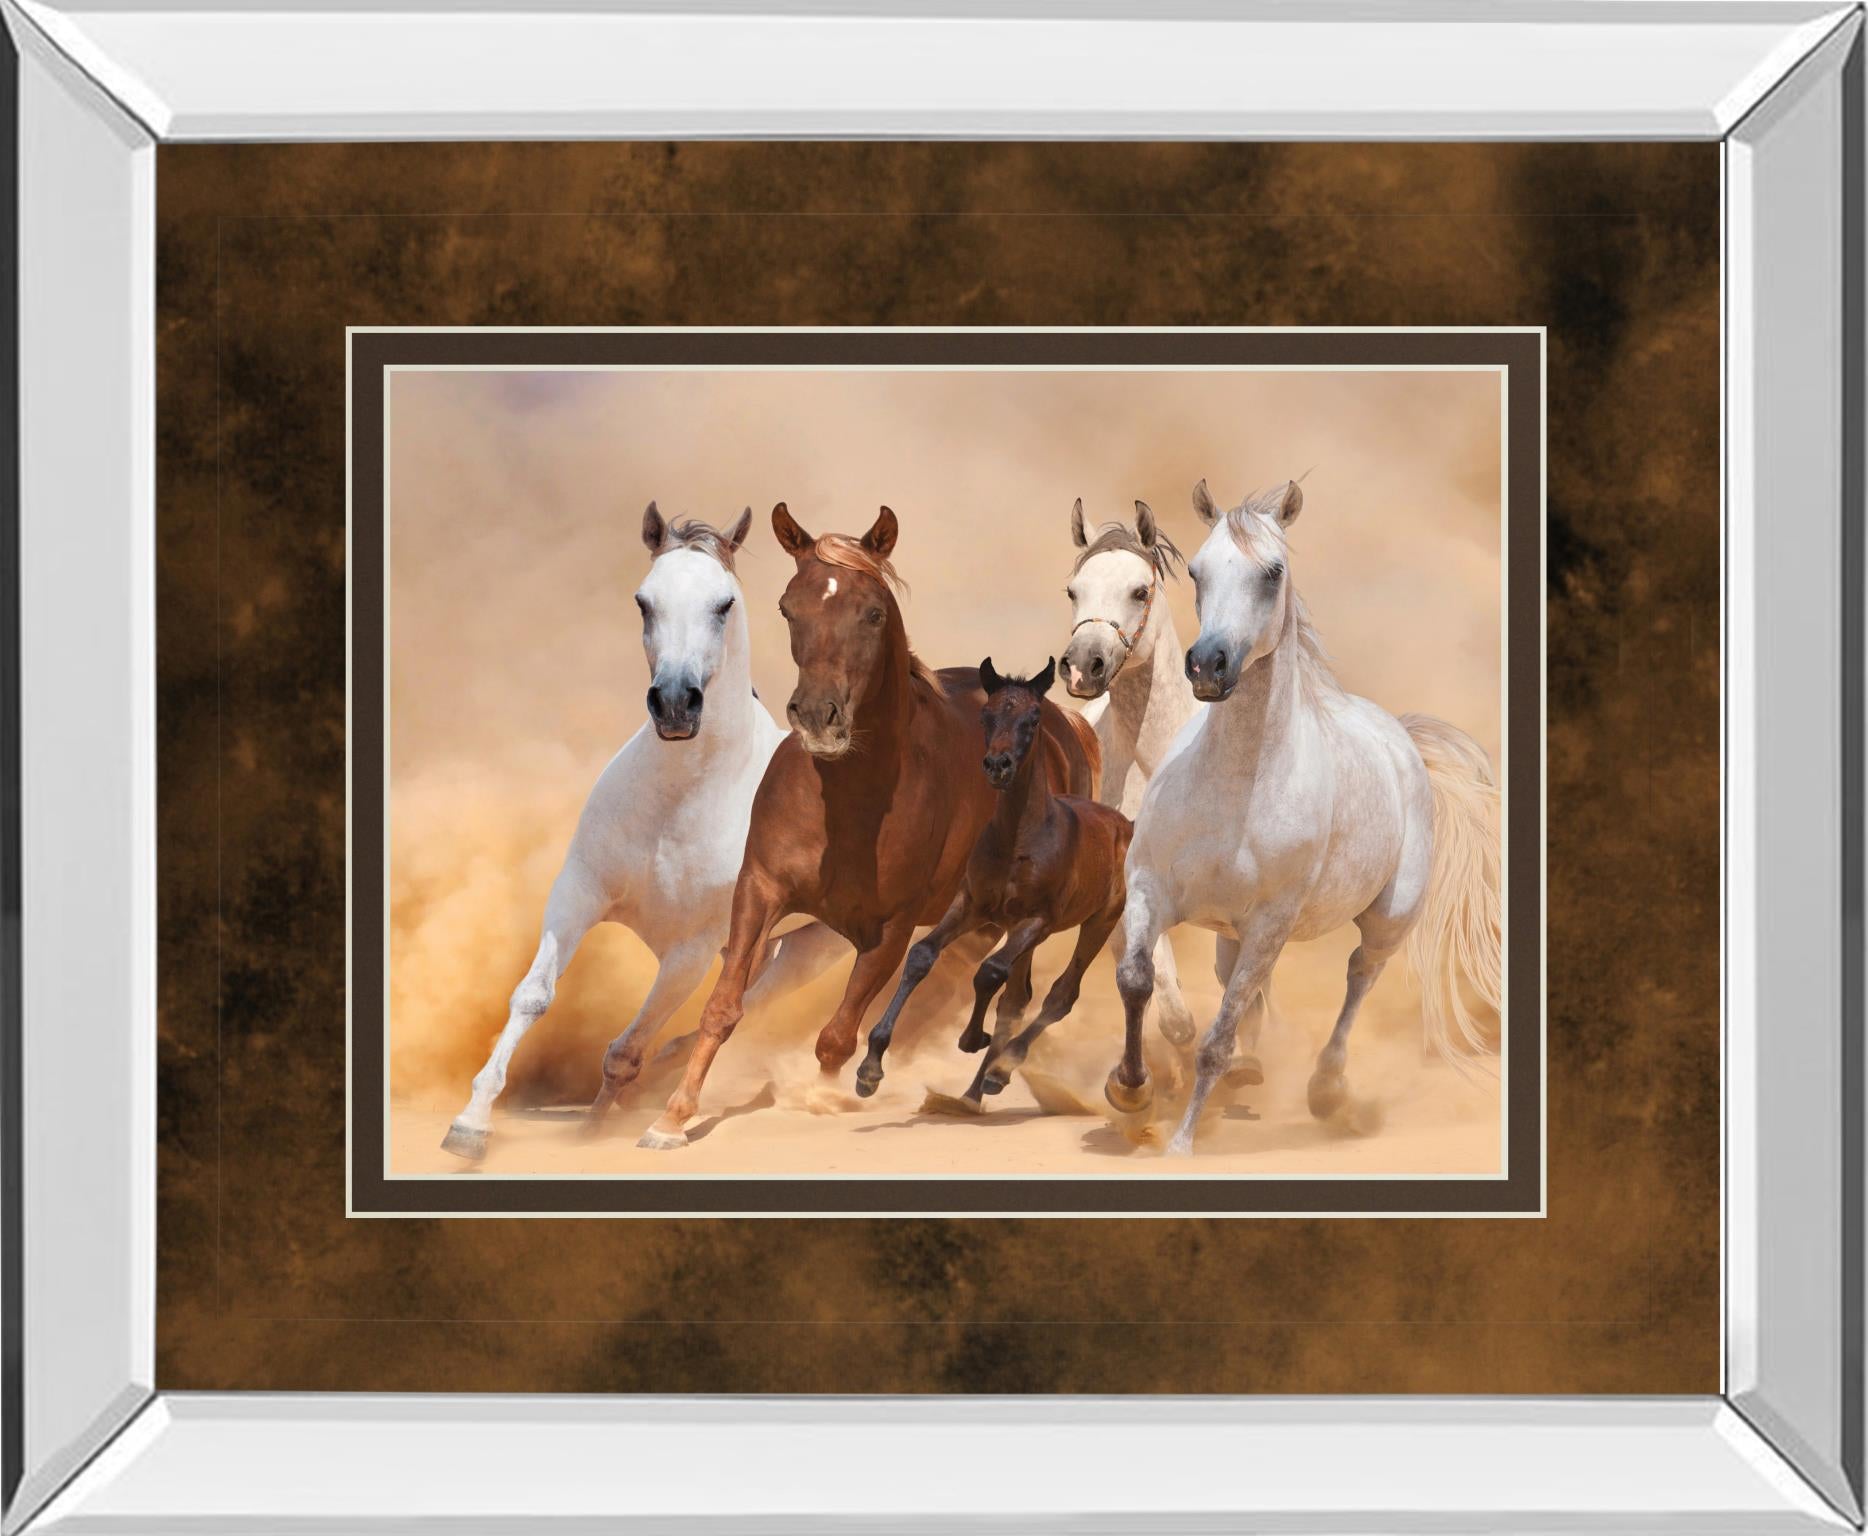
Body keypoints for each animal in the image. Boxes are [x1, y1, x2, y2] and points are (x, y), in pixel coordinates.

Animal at [440, 504, 847, 1161]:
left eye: (725, 603)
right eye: (643, 601)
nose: (676, 704)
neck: (677, 806)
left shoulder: (689, 951)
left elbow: (627, 1050)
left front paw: (612, 1127)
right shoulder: (578, 894)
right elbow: (534, 996)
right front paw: (473, 1123)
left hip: (817, 949)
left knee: (735, 1012)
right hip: (770, 945)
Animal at [615, 502, 1099, 1150]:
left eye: (873, 613)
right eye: (788, 607)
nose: (819, 716)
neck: (848, 804)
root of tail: (1067, 723)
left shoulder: (890, 930)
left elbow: (836, 1038)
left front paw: (821, 1100)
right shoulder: (759, 891)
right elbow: (722, 1008)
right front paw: (671, 1118)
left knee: (1011, 992)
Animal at [854, 656, 1132, 1105]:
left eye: (1033, 717)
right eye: (986, 715)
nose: (998, 765)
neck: (1018, 839)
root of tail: (1127, 824)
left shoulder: (1036, 920)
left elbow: (989, 972)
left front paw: (971, 1038)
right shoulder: (972, 905)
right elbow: (921, 956)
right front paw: (869, 1068)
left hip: (1099, 922)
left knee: (1059, 994)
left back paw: (999, 1071)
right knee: (1019, 997)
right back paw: (976, 1089)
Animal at [1106, 478, 1502, 1157]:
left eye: (1273, 572)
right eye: (1196, 570)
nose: (1207, 665)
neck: (1235, 788)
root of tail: (1401, 736)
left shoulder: (1271, 924)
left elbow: (1215, 1040)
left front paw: (1181, 1142)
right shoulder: (1150, 887)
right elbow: (1136, 980)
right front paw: (1130, 1090)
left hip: (1387, 920)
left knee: (1360, 977)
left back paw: (1327, 1091)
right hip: (1231, 934)